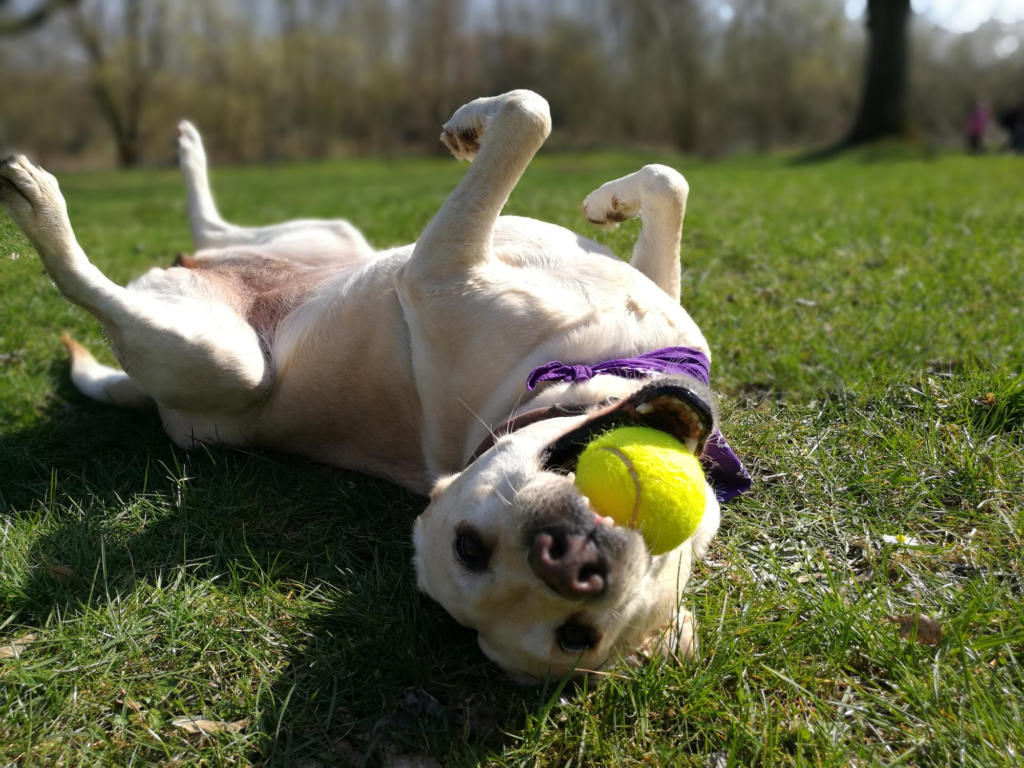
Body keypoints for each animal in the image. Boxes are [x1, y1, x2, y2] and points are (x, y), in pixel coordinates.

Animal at [4, 90, 749, 684]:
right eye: (470, 547)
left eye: (577, 635)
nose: (571, 563)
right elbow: (657, 176)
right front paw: (602, 197)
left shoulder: (438, 265)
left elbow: (530, 115)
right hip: (329, 240)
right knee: (212, 228)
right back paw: (181, 153)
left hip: (229, 364)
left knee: (89, 285)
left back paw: (39, 203)